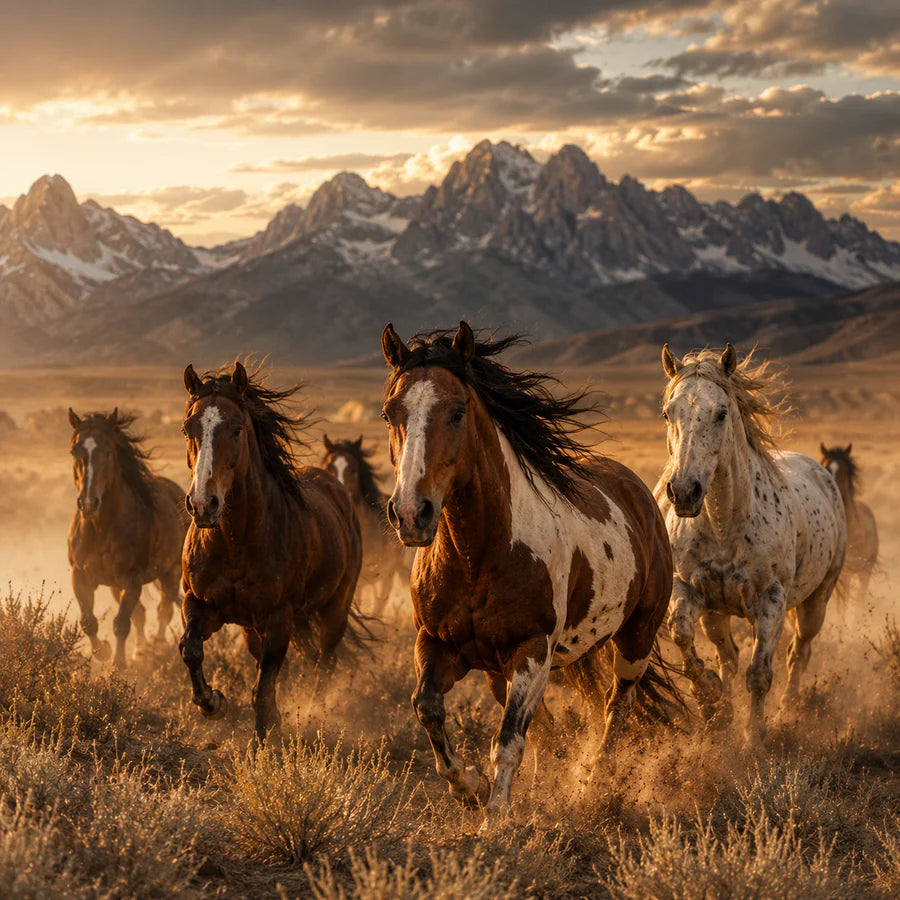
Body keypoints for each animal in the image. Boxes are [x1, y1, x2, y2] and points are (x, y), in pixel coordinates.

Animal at [67, 408, 188, 667]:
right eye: (74, 451)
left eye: (108, 451)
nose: (89, 503)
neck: (100, 528)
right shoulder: (80, 575)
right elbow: (88, 621)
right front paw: (102, 651)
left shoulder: (132, 579)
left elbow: (121, 623)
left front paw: (118, 665)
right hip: (116, 585)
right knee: (141, 613)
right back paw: (140, 651)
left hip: (170, 573)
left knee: (163, 609)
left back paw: (157, 646)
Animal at [179, 361, 363, 743]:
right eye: (187, 428)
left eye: (236, 429)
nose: (203, 504)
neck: (235, 542)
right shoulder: (199, 603)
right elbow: (190, 650)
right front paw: (213, 702)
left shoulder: (280, 618)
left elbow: (263, 690)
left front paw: (263, 746)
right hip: (253, 627)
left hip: (334, 610)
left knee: (324, 663)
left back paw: (316, 712)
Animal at [381, 321, 679, 818]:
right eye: (389, 413)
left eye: (458, 411)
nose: (410, 513)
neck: (477, 555)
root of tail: (637, 489)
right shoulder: (438, 644)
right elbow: (428, 711)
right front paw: (470, 788)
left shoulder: (532, 651)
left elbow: (509, 740)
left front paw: (495, 819)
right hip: (508, 666)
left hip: (635, 639)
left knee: (617, 706)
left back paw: (593, 782)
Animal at [657, 343, 846, 741]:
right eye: (667, 413)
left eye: (722, 412)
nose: (683, 491)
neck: (724, 527)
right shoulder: (689, 590)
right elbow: (682, 636)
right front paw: (710, 700)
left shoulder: (769, 601)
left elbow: (759, 674)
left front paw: (753, 738)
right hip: (716, 614)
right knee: (728, 655)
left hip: (816, 602)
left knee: (799, 651)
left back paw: (791, 708)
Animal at [820, 444, 879, 612]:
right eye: (825, 467)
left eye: (845, 471)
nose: (832, 490)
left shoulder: (848, 573)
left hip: (865, 571)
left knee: (859, 598)